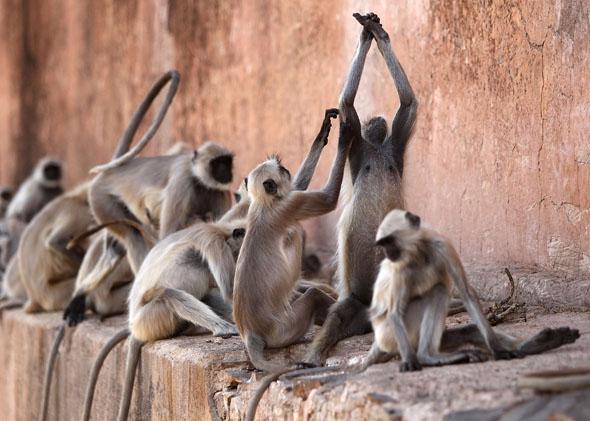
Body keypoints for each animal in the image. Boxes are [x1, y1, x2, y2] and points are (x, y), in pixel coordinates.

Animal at [306, 11, 420, 366]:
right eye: (371, 123)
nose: (377, 122)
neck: (378, 149)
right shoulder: (359, 143)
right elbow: (346, 105)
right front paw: (367, 34)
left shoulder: (395, 145)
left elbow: (408, 103)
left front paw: (377, 34)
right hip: (357, 296)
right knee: (341, 311)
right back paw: (314, 355)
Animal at [360, 208, 584, 370]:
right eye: (383, 244)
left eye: (389, 242)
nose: (387, 254)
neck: (419, 252)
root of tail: (378, 342)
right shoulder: (400, 268)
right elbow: (394, 312)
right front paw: (410, 362)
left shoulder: (442, 246)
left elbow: (467, 293)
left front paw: (498, 350)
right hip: (391, 335)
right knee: (437, 291)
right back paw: (426, 358)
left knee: (468, 329)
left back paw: (538, 343)